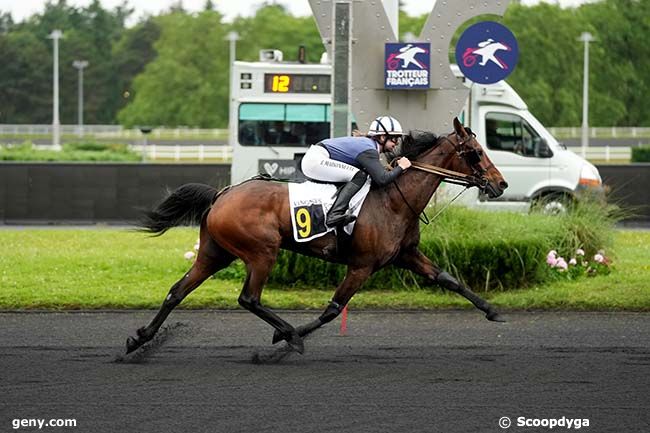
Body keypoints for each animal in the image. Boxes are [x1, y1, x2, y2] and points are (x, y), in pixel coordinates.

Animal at [125, 119, 506, 354]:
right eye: (475, 153)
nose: (500, 184)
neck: (394, 198)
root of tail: (223, 194)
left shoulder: (406, 255)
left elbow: (449, 279)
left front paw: (493, 311)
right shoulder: (362, 266)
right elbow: (333, 309)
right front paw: (285, 341)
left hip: (215, 253)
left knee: (177, 291)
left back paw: (140, 340)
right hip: (261, 252)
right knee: (249, 298)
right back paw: (290, 334)